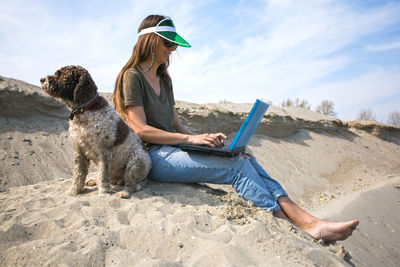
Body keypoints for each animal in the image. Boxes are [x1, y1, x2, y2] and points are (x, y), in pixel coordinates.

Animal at [39, 65, 151, 198]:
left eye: (60, 74)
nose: (41, 79)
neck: (86, 110)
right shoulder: (80, 151)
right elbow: (78, 174)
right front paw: (74, 191)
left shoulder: (104, 152)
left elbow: (102, 175)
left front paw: (103, 192)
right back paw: (93, 181)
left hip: (137, 159)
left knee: (132, 183)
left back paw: (124, 192)